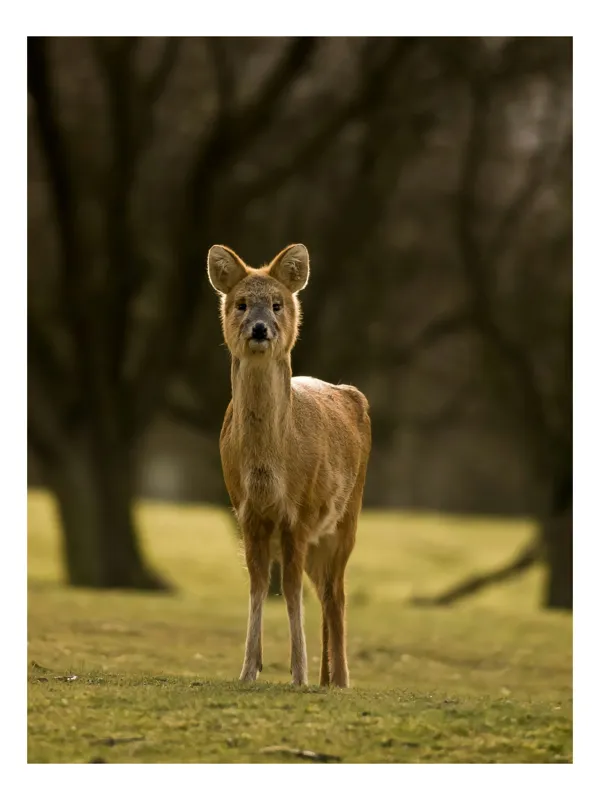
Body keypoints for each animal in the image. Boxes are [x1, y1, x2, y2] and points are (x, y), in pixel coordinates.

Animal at [207, 243, 371, 688]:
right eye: (242, 304)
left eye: (278, 304)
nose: (260, 328)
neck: (269, 468)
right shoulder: (245, 511)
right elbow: (259, 585)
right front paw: (249, 670)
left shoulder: (298, 511)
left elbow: (291, 590)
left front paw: (297, 673)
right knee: (325, 590)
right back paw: (327, 678)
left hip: (346, 516)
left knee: (336, 592)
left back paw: (340, 679)